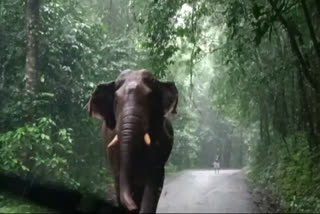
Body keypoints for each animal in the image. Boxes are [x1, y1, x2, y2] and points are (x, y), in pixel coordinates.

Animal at [85, 69, 179, 212]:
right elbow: (119, 178)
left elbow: (153, 182)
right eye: (116, 100)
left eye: (150, 98)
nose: (133, 207)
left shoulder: (160, 140)